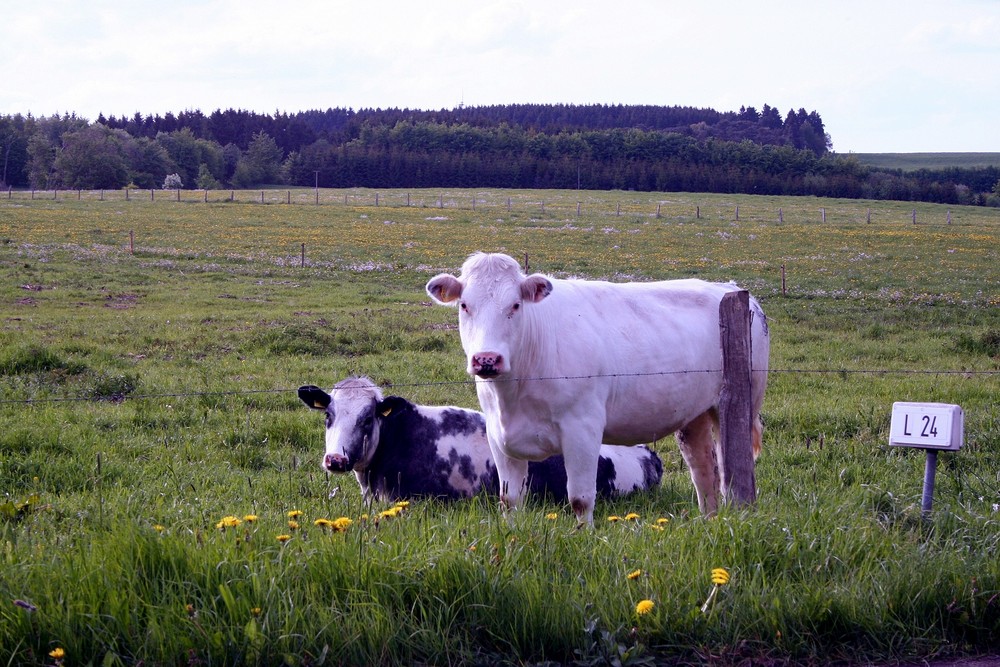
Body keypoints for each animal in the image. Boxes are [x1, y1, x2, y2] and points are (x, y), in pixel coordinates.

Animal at [426, 252, 768, 528]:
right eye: (464, 305)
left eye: (515, 305)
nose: (486, 359)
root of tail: (731, 289)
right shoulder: (498, 436)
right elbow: (509, 501)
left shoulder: (583, 428)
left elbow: (580, 498)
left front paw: (585, 537)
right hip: (693, 414)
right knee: (703, 469)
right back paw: (709, 521)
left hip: (740, 403)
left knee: (733, 470)